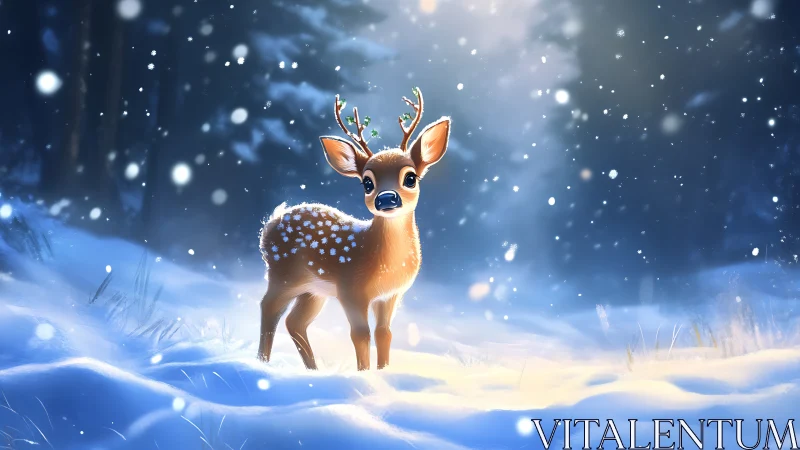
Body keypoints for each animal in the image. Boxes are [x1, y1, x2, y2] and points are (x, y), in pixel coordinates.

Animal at [257, 88, 450, 371]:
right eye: (367, 183)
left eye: (410, 177)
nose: (386, 198)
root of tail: (272, 221)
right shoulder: (350, 290)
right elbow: (360, 334)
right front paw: (364, 374)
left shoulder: (390, 295)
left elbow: (384, 333)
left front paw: (383, 372)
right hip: (283, 274)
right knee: (269, 307)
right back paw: (261, 363)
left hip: (314, 290)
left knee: (295, 321)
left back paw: (314, 370)